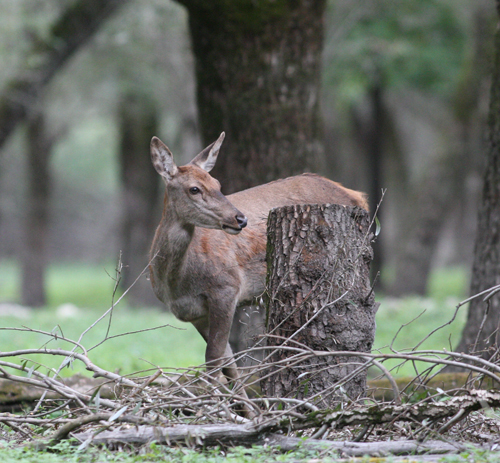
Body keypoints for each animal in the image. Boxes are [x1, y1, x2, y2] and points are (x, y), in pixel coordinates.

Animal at [148, 130, 368, 392]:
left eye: (218, 184)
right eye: (194, 189)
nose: (240, 219)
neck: (176, 283)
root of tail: (358, 196)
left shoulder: (226, 287)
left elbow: (214, 358)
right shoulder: (195, 314)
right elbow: (229, 363)